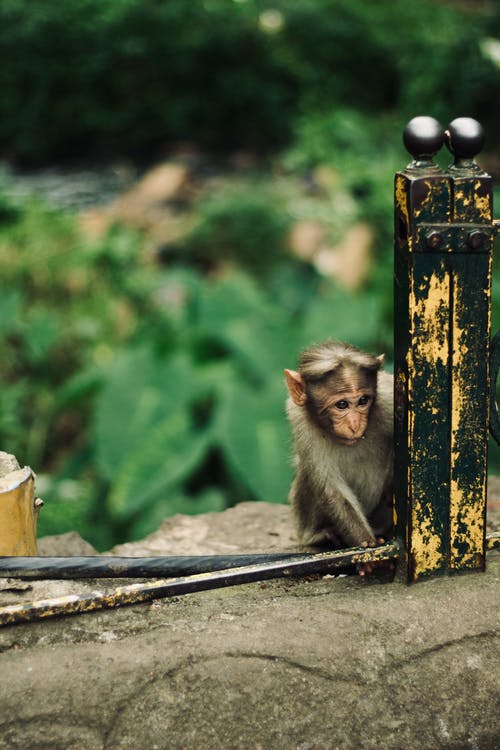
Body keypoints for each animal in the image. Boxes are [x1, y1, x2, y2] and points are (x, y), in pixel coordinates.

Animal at [284, 340, 392, 552]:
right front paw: (366, 542)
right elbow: (331, 488)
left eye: (363, 401)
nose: (355, 425)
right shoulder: (300, 420)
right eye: (342, 405)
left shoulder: (389, 399)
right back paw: (321, 536)